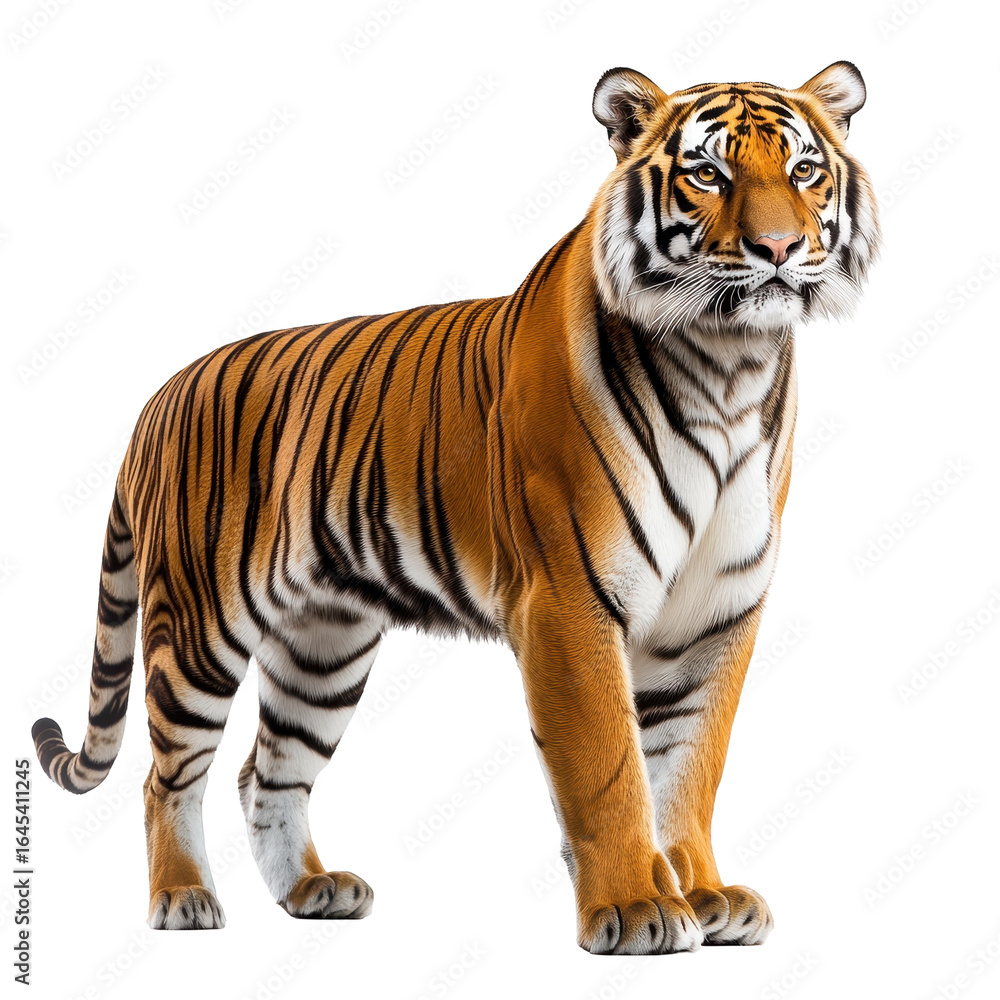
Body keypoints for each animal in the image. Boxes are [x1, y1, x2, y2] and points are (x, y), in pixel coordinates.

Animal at [32, 60, 879, 955]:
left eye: (804, 170)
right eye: (708, 174)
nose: (779, 250)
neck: (728, 364)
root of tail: (161, 393)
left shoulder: (719, 612)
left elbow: (690, 768)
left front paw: (706, 894)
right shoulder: (569, 599)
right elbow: (610, 766)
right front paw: (635, 909)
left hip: (323, 649)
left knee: (266, 771)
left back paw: (311, 890)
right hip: (198, 624)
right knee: (168, 776)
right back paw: (184, 897)